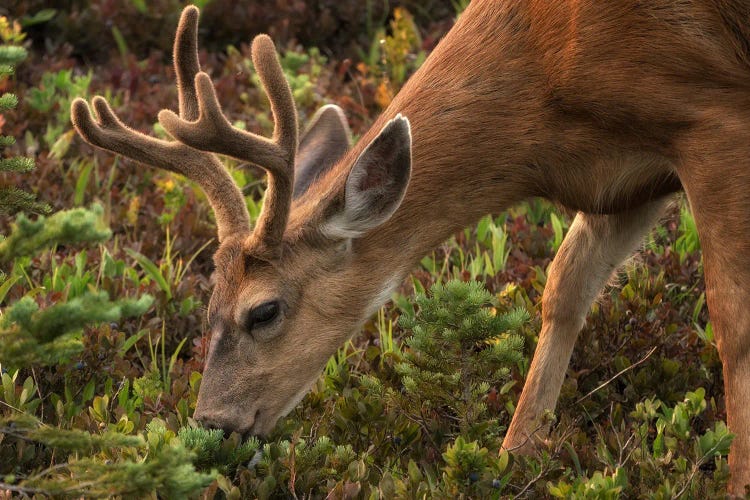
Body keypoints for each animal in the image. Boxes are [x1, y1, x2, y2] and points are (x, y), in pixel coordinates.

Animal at [72, 0, 750, 492]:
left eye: (263, 310)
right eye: (206, 302)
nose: (211, 426)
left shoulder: (711, 118)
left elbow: (733, 321)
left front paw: (738, 481)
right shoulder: (626, 178)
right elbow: (564, 289)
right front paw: (515, 455)